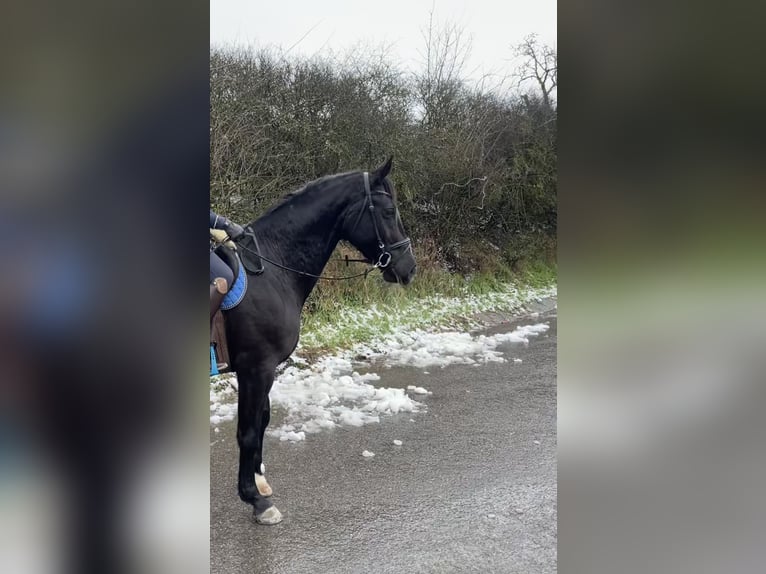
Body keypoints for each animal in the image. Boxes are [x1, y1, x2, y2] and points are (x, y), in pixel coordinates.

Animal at [219, 159, 416, 528]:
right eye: (389, 211)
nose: (408, 268)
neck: (270, 269)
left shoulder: (262, 369)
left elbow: (262, 420)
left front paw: (260, 483)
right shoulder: (256, 367)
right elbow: (248, 431)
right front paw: (256, 500)